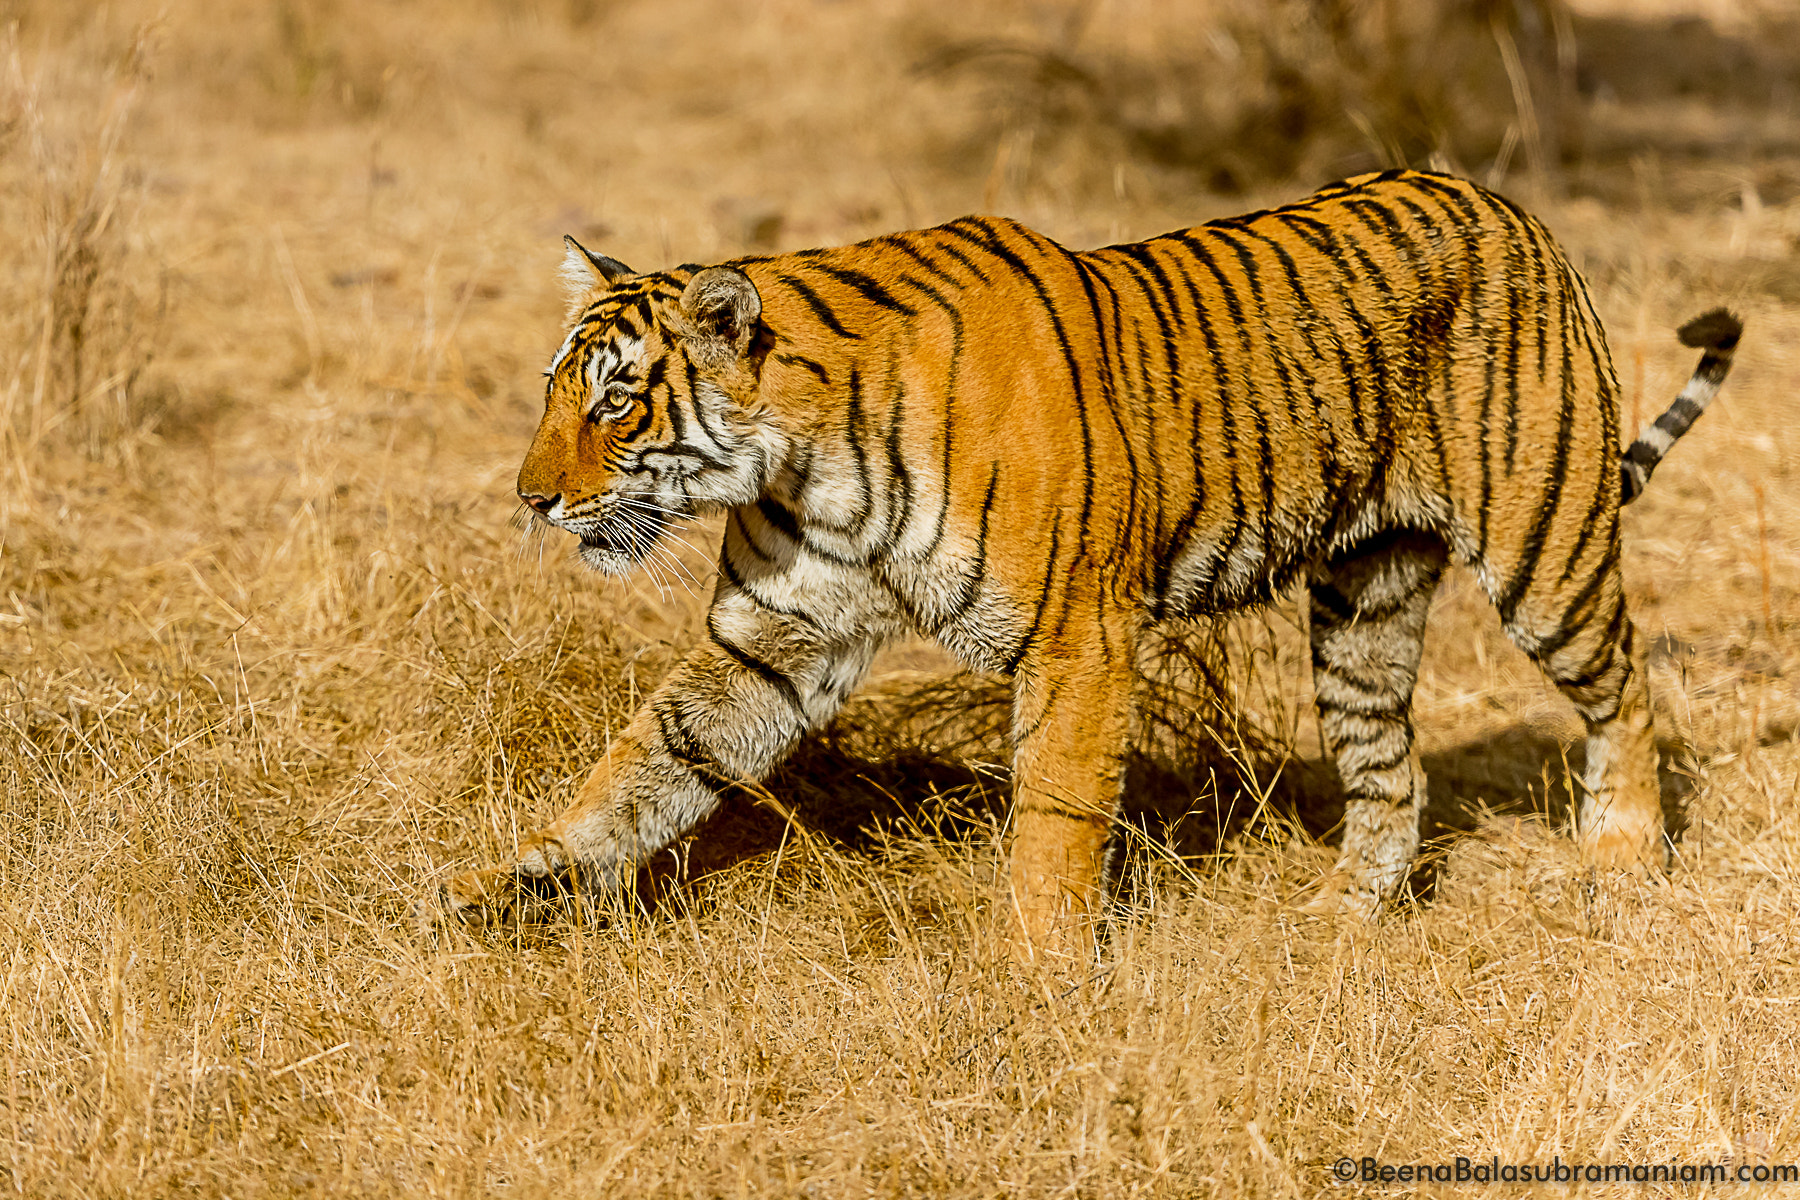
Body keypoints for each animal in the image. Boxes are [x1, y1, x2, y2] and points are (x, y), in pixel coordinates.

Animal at [424, 170, 1742, 957]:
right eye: (554, 392)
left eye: (616, 403)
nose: (533, 499)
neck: (804, 461)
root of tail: (1503, 198)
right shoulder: (774, 639)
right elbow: (644, 765)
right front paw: (518, 883)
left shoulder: (1078, 637)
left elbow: (1054, 822)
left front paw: (1038, 977)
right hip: (1364, 603)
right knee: (1390, 771)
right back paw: (1338, 917)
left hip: (1544, 548)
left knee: (1628, 693)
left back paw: (1622, 861)